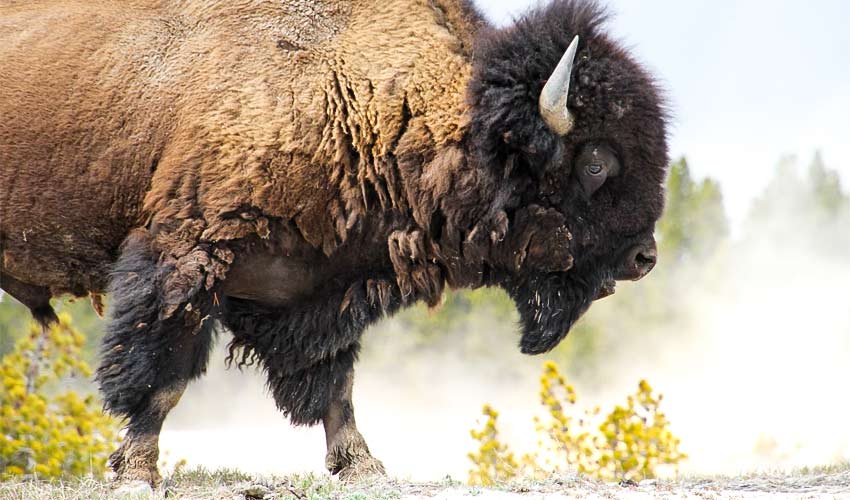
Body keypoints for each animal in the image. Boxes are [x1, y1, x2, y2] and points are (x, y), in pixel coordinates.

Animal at [0, 0, 664, 486]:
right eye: (597, 162)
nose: (644, 257)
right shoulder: (187, 261)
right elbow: (162, 376)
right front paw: (137, 471)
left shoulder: (323, 291)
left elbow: (337, 386)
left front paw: (363, 466)